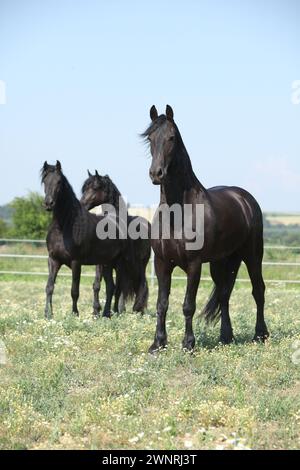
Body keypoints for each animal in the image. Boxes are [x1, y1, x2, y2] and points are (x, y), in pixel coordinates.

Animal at [41, 162, 139, 320]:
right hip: (107, 263)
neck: (65, 225)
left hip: (119, 263)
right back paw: (106, 314)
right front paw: (48, 314)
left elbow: (74, 290)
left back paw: (114, 312)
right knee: (111, 287)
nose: (49, 203)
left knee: (118, 287)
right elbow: (49, 287)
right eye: (44, 181)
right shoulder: (53, 260)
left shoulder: (76, 262)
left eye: (59, 182)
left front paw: (75, 313)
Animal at [80, 171, 150, 314]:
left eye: (95, 188)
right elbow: (97, 285)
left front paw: (113, 311)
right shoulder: (100, 263)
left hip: (140, 265)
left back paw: (137, 309)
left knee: (141, 284)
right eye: (84, 189)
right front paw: (96, 310)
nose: (81, 204)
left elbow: (117, 288)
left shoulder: (120, 264)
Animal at [143, 104, 270, 350]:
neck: (177, 213)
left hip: (252, 255)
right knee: (224, 294)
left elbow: (188, 305)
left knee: (258, 290)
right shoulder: (162, 263)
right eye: (150, 138)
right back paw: (226, 337)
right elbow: (162, 304)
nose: (156, 173)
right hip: (222, 261)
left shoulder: (194, 265)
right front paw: (158, 344)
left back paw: (260, 335)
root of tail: (245, 199)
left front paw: (188, 344)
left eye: (172, 137)